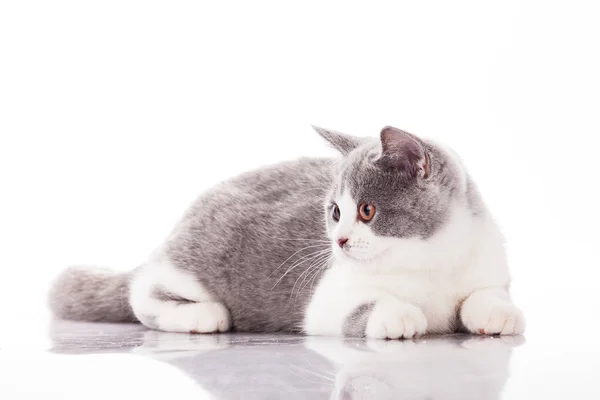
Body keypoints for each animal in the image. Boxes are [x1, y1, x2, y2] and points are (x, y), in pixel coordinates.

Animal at [48, 126, 524, 340]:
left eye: (366, 211)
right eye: (335, 212)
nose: (339, 241)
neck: (430, 262)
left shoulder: (486, 266)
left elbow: (485, 294)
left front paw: (496, 313)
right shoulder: (326, 300)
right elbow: (366, 304)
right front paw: (399, 315)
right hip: (194, 262)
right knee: (142, 290)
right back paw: (203, 315)